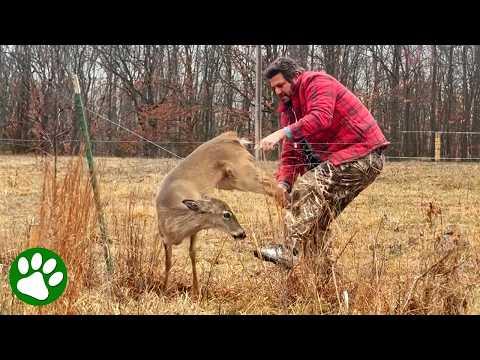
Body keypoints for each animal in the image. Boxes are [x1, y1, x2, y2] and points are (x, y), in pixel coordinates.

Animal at [155, 131, 282, 296]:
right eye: (226, 214)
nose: (242, 233)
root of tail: (231, 136)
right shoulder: (164, 238)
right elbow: (168, 262)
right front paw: (164, 290)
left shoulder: (194, 232)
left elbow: (192, 254)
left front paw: (196, 290)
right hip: (229, 181)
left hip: (243, 172)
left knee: (275, 185)